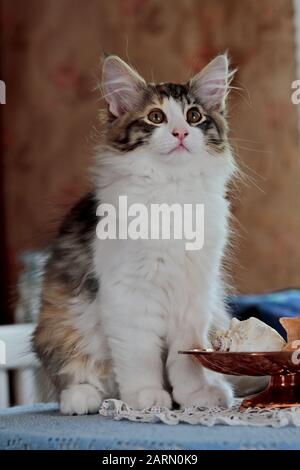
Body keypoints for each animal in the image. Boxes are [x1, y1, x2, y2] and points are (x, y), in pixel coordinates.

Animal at [32, 54, 238, 414]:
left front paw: (193, 395)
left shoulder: (194, 294)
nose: (181, 132)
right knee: (74, 373)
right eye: (156, 117)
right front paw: (147, 395)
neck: (172, 191)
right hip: (61, 321)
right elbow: (140, 354)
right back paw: (82, 398)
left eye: (194, 116)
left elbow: (186, 357)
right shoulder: (129, 291)